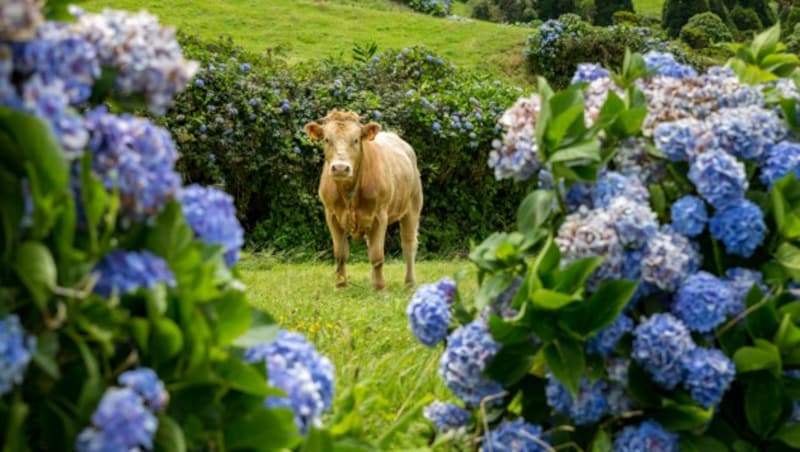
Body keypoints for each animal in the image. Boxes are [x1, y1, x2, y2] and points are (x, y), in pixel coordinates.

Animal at [302, 111, 424, 292]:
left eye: (356, 140)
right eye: (327, 139)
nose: (340, 168)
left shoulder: (380, 216)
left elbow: (377, 254)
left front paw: (380, 288)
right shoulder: (331, 215)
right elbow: (340, 254)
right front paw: (341, 285)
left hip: (413, 207)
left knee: (408, 245)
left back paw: (409, 283)